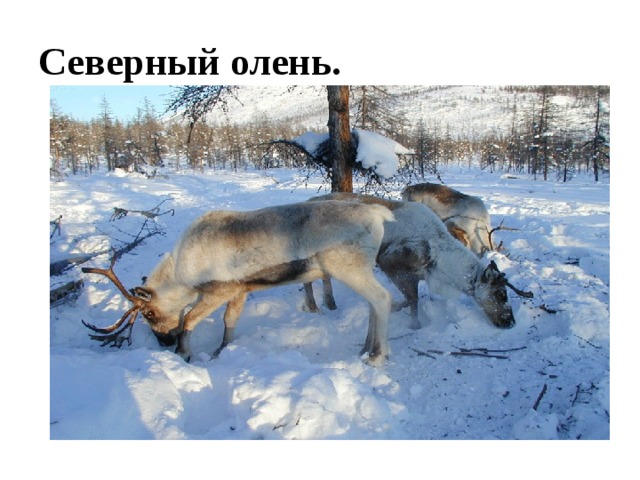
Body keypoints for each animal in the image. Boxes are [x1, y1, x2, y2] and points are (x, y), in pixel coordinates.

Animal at [81, 200, 395, 366]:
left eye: (148, 312)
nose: (164, 342)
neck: (182, 273)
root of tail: (378, 214)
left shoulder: (219, 289)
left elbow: (190, 320)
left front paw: (185, 353)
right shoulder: (240, 290)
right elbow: (229, 322)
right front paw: (221, 351)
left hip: (347, 268)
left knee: (382, 299)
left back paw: (378, 356)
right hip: (360, 270)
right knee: (372, 304)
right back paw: (364, 348)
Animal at [303, 193, 530, 330]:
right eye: (500, 294)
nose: (510, 322)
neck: (438, 262)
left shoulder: (416, 276)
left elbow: (411, 299)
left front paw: (402, 312)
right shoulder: (390, 264)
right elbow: (412, 299)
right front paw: (413, 324)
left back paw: (330, 303)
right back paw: (313, 306)